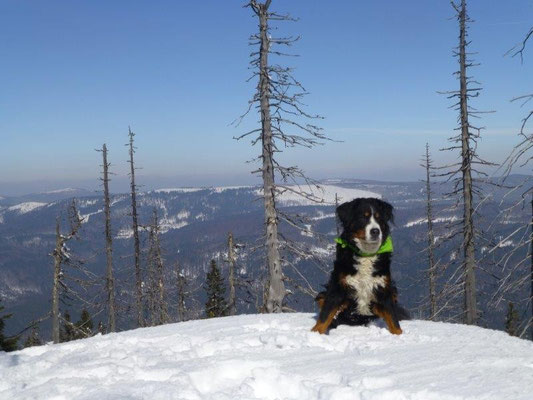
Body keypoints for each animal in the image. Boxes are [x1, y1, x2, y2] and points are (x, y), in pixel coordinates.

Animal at [312, 198, 408, 334]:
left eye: (379, 218)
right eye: (363, 217)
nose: (375, 231)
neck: (366, 255)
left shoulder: (383, 289)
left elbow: (394, 320)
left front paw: (399, 335)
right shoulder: (337, 288)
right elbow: (324, 317)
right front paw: (314, 333)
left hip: (393, 290)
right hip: (324, 292)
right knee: (323, 301)